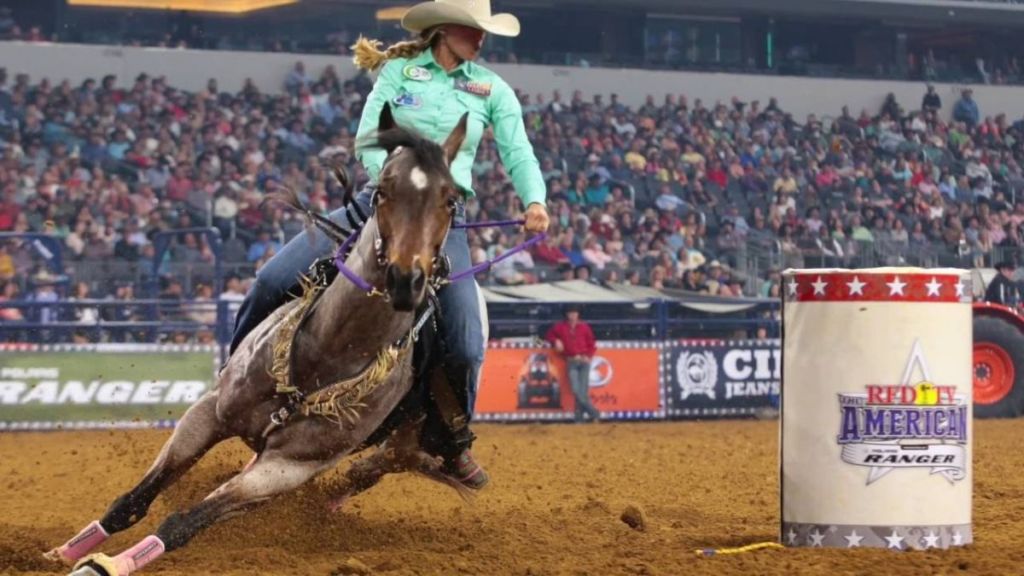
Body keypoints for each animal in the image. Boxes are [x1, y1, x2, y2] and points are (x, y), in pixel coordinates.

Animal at [47, 103, 472, 576]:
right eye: (381, 191)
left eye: (451, 200)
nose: (405, 279)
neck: (324, 354)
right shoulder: (209, 412)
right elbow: (132, 501)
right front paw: (66, 553)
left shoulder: (285, 468)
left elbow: (185, 522)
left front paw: (106, 564)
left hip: (406, 445)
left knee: (367, 472)